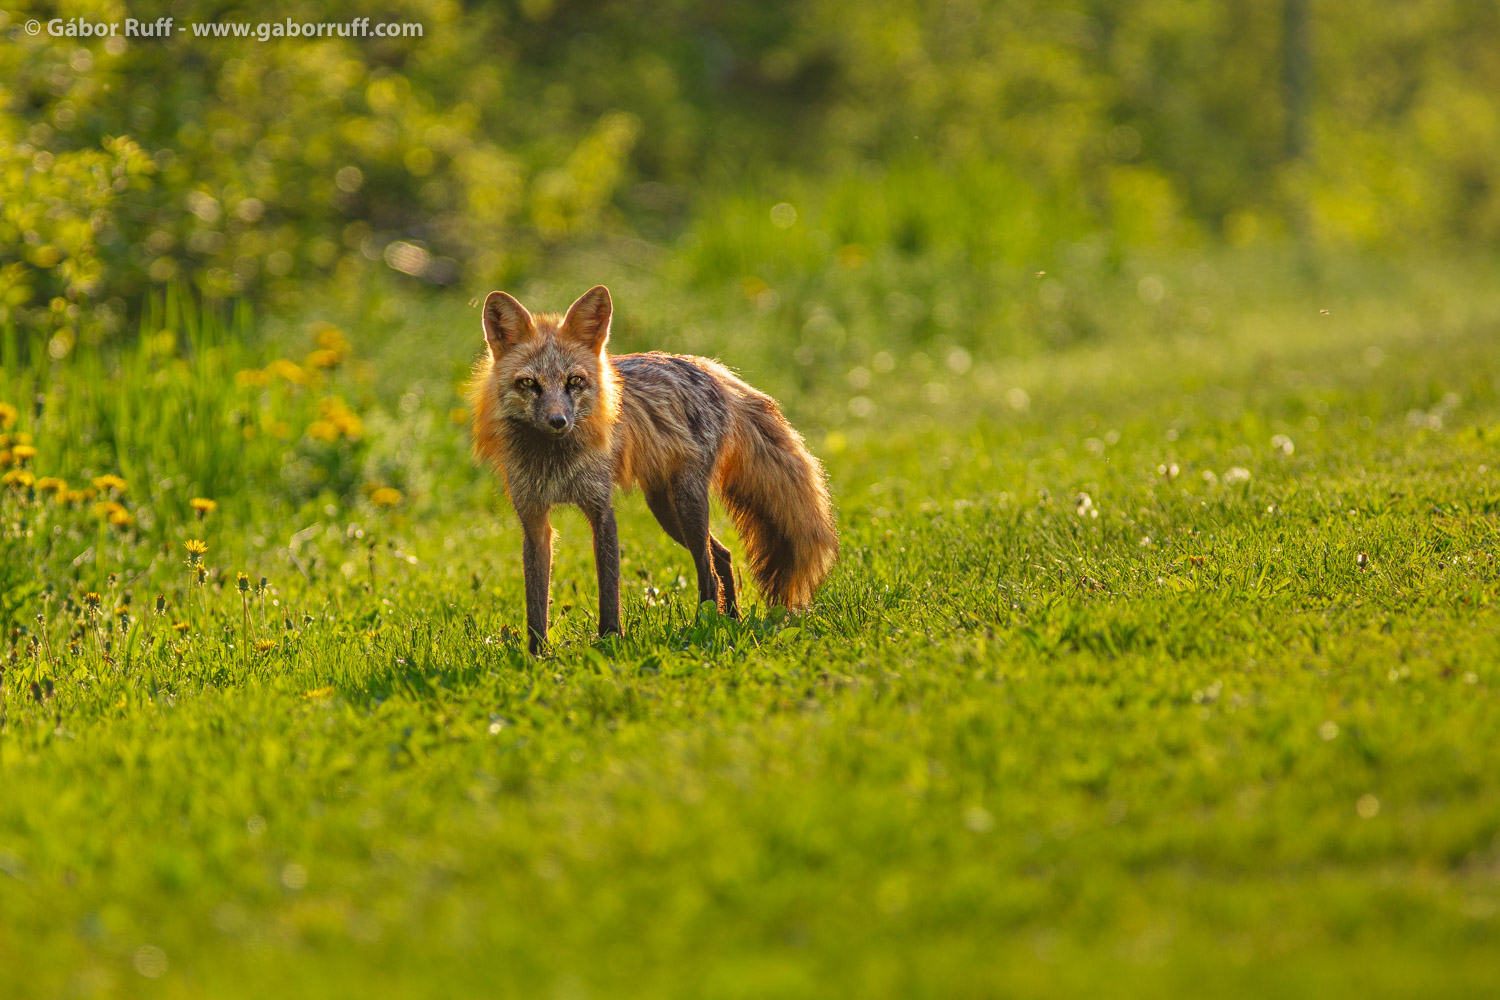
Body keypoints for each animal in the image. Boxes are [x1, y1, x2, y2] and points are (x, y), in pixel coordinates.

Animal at [468, 284, 840, 656]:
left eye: (574, 381)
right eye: (529, 384)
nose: (558, 421)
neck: (555, 462)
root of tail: (711, 369)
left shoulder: (601, 509)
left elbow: (609, 589)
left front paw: (609, 641)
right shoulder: (533, 519)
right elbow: (535, 601)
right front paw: (537, 655)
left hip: (687, 506)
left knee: (708, 571)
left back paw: (703, 628)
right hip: (666, 511)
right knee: (722, 556)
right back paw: (731, 621)